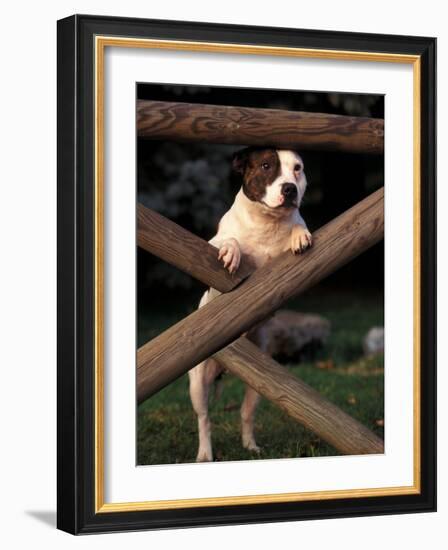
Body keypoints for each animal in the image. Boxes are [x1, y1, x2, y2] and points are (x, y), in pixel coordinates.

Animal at [186, 147, 312, 462]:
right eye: (266, 166)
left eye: (297, 168)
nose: (289, 189)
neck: (266, 223)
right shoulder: (210, 246)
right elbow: (227, 240)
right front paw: (232, 250)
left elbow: (298, 226)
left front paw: (299, 233)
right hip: (198, 383)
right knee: (204, 418)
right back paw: (205, 453)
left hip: (260, 383)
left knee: (246, 413)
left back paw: (250, 445)